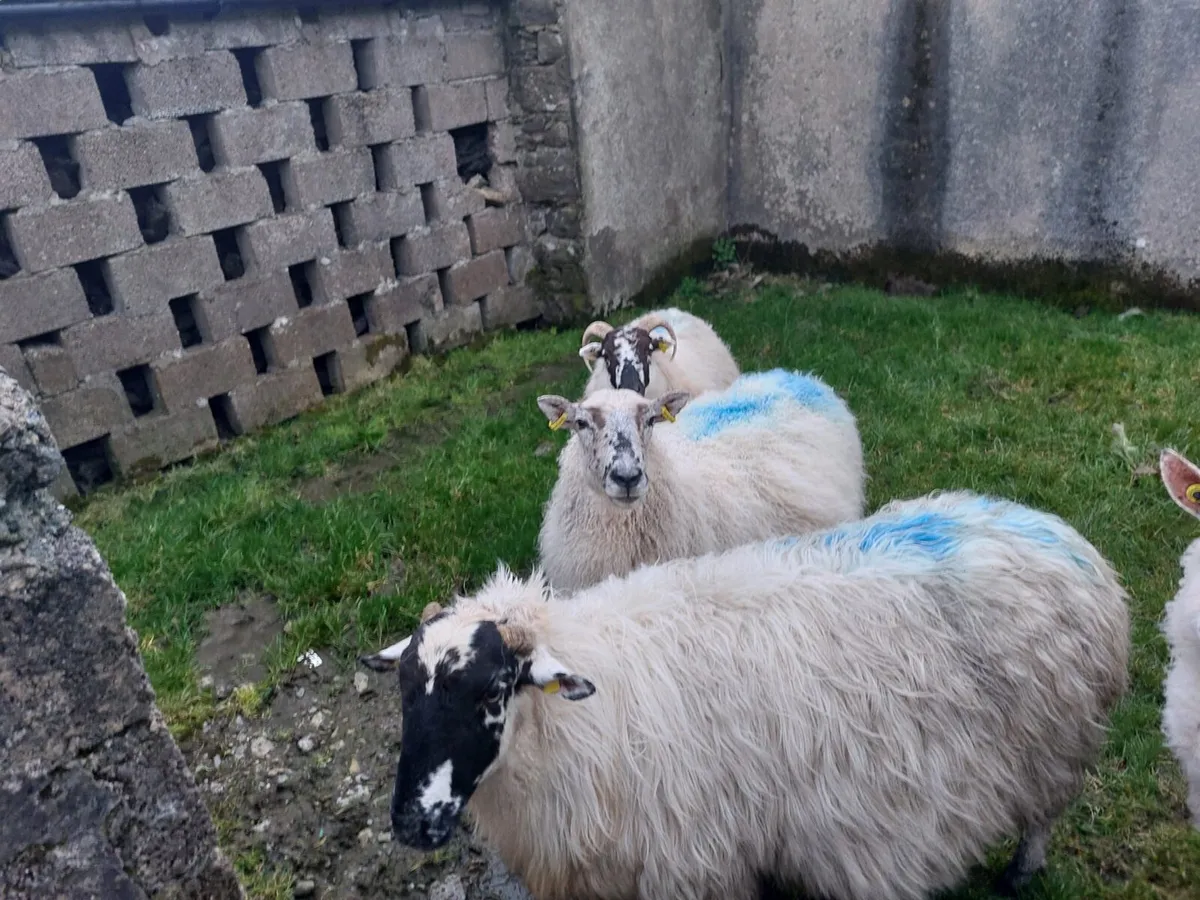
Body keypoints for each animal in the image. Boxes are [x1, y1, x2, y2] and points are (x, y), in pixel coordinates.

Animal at [360, 489, 1131, 900]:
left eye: (494, 688)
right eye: (404, 694)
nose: (411, 825)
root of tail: (1057, 532)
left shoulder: (691, 861)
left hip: (1051, 741)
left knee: (1042, 814)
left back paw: (1019, 874)